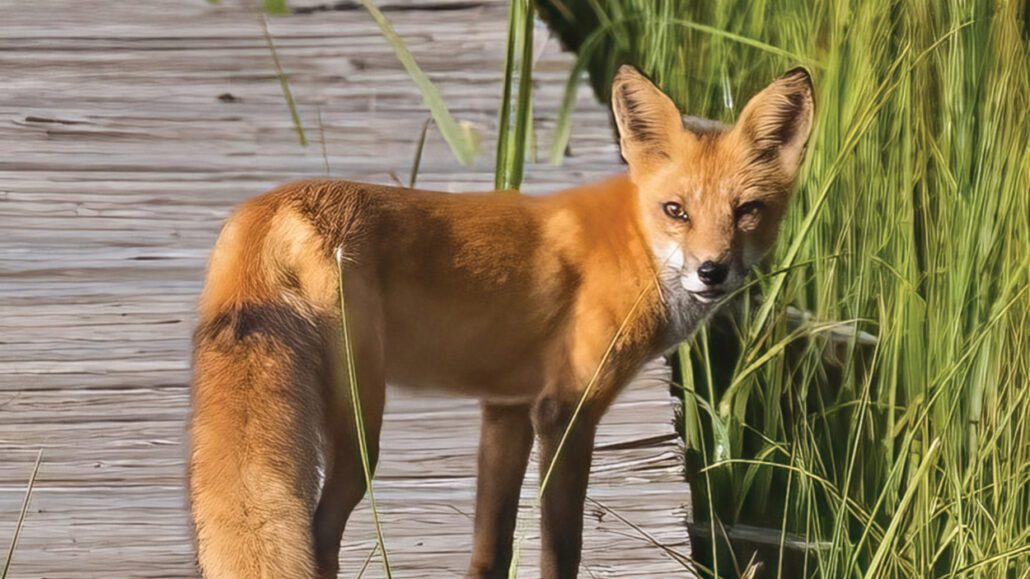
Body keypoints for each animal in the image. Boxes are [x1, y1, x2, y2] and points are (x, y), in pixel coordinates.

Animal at [187, 65, 814, 579]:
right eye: (676, 211)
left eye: (747, 211)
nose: (712, 271)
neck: (632, 243)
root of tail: (274, 206)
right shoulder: (566, 411)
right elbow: (562, 549)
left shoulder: (507, 410)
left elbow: (491, 549)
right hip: (362, 430)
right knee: (320, 538)